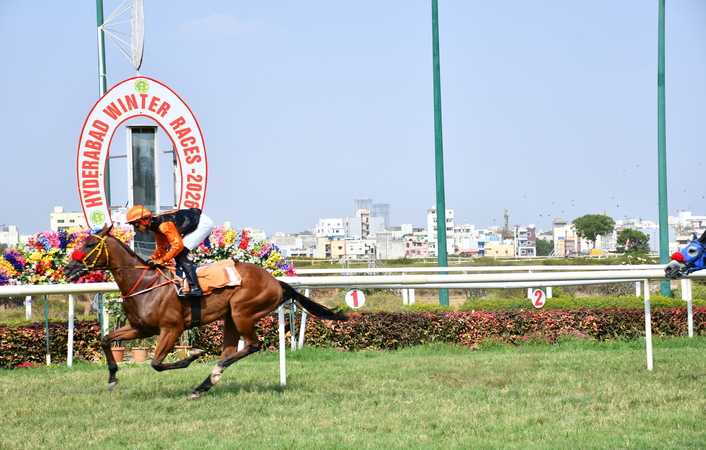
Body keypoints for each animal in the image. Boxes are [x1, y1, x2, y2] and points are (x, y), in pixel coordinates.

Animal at [63, 224, 347, 398]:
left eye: (89, 244)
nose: (67, 269)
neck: (144, 284)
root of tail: (276, 281)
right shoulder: (140, 328)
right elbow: (106, 340)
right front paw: (112, 379)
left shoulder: (172, 328)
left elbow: (156, 363)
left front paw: (193, 355)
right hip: (231, 317)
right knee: (232, 350)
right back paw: (204, 385)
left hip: (242, 311)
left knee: (252, 345)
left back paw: (213, 373)